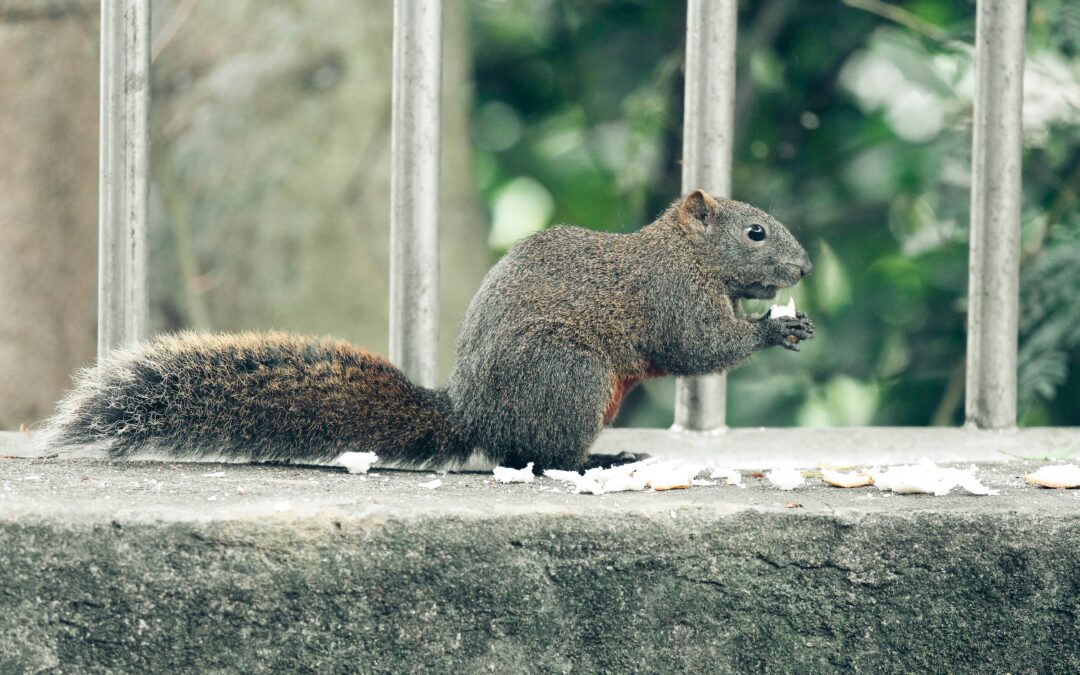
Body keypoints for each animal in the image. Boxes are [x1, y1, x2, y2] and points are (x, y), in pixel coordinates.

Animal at [46, 190, 814, 471]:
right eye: (755, 232)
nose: (805, 267)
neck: (684, 253)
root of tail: (471, 413)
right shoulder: (670, 297)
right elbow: (699, 346)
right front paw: (772, 331)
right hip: (571, 377)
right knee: (541, 456)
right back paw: (599, 462)